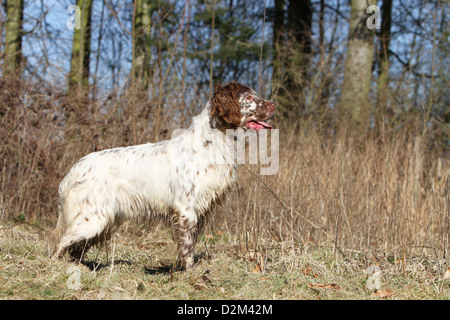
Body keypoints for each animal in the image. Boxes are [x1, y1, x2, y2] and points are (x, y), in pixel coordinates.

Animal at [48, 82, 274, 270]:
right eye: (249, 97)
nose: (273, 105)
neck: (211, 142)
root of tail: (75, 168)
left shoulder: (200, 212)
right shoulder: (186, 210)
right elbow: (187, 248)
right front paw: (190, 274)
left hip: (103, 221)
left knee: (76, 248)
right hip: (93, 219)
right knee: (60, 244)